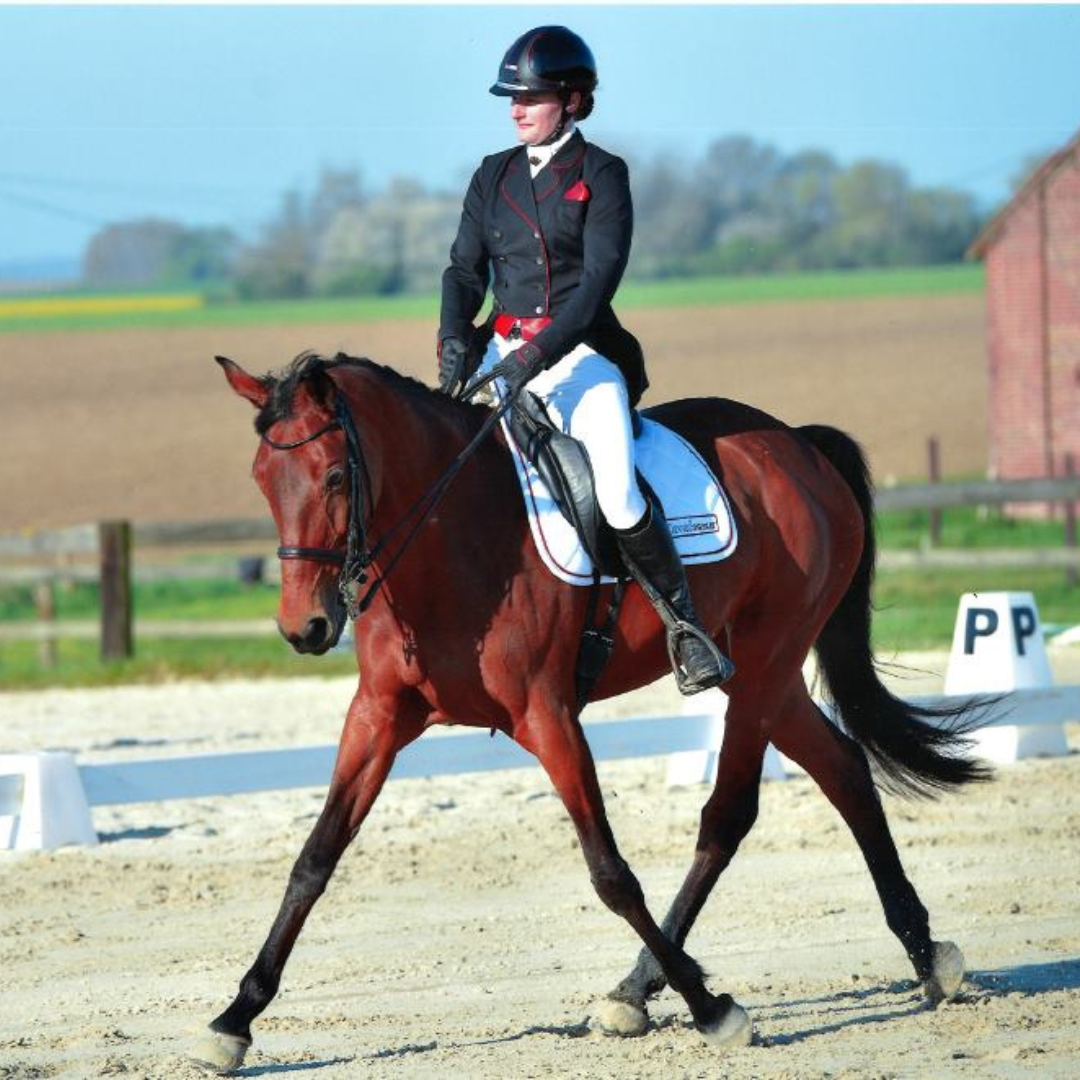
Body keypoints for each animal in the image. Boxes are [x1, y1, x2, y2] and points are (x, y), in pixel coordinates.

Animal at [192, 350, 989, 1073]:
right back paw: (922, 955)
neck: (451, 540)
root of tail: (796, 442)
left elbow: (609, 871)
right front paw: (234, 1020)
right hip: (769, 674)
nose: (305, 629)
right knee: (843, 769)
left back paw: (654, 987)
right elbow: (314, 859)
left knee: (728, 815)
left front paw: (713, 1010)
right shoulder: (379, 716)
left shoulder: (548, 717)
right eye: (263, 479)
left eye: (333, 476)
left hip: (764, 665)